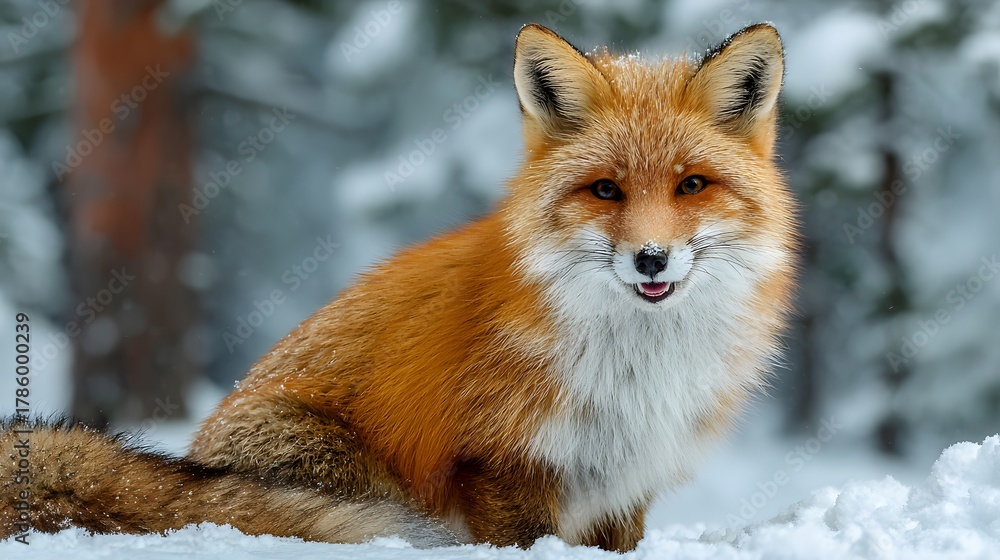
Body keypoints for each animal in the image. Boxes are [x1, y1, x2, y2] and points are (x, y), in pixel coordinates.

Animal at [2, 23, 796, 552]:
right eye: (606, 190)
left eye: (691, 185)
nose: (651, 260)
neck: (636, 365)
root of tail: (197, 459)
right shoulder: (499, 464)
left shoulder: (623, 483)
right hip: (359, 482)